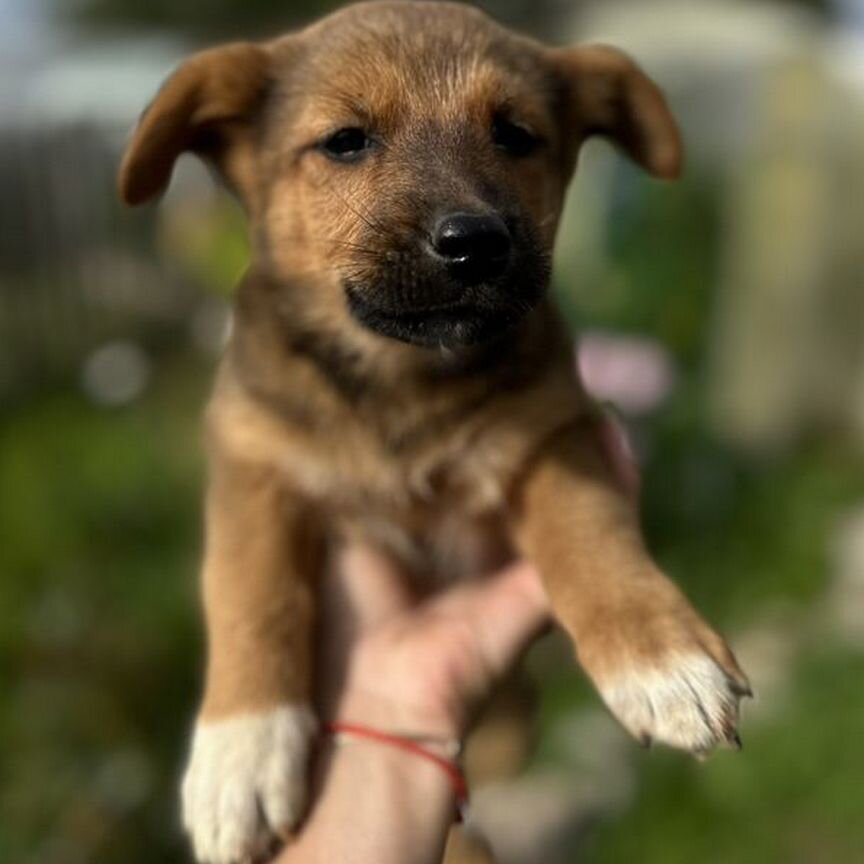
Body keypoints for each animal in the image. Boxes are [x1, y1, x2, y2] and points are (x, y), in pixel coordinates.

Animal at [120, 3, 748, 860]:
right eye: (346, 140)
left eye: (515, 134)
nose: (476, 243)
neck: (402, 380)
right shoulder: (253, 464)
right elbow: (252, 589)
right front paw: (240, 754)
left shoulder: (556, 432)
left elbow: (587, 529)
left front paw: (661, 657)